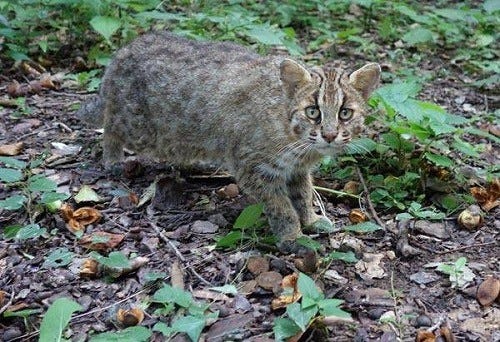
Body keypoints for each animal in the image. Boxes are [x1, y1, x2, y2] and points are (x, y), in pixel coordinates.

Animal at [78, 30, 378, 252]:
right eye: (313, 112)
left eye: (345, 113)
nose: (329, 134)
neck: (296, 138)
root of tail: (127, 48)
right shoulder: (254, 168)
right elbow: (281, 207)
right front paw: (292, 236)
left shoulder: (297, 169)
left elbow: (303, 195)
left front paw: (311, 219)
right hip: (141, 128)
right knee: (110, 125)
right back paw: (112, 159)